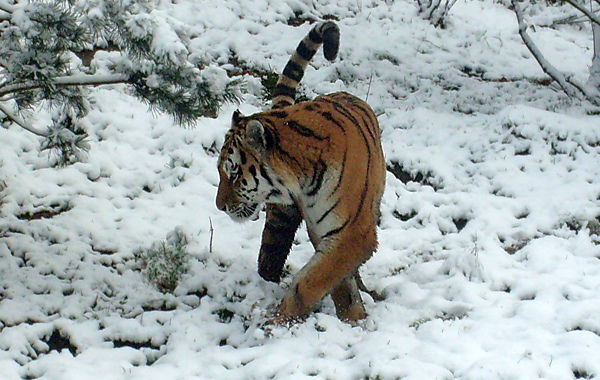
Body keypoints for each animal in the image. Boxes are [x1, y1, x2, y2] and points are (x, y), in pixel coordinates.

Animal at [216, 20, 384, 324]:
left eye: (232, 173)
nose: (219, 206)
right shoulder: (321, 228)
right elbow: (332, 280)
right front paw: (350, 314)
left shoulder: (353, 232)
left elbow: (313, 280)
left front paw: (281, 319)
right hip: (279, 223)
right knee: (270, 257)